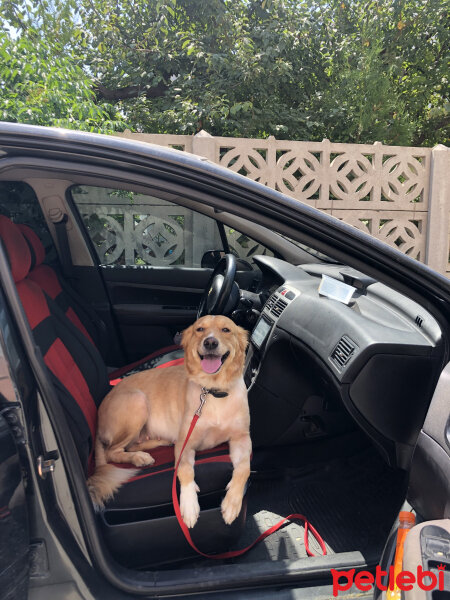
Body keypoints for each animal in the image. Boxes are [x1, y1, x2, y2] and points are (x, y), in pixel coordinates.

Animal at [86, 314, 251, 524]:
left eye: (226, 330)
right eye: (200, 329)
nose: (210, 342)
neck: (213, 391)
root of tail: (98, 418)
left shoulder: (242, 438)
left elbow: (244, 468)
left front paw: (232, 503)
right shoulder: (185, 444)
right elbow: (185, 470)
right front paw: (188, 505)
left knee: (129, 446)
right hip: (138, 401)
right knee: (112, 452)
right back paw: (139, 458)